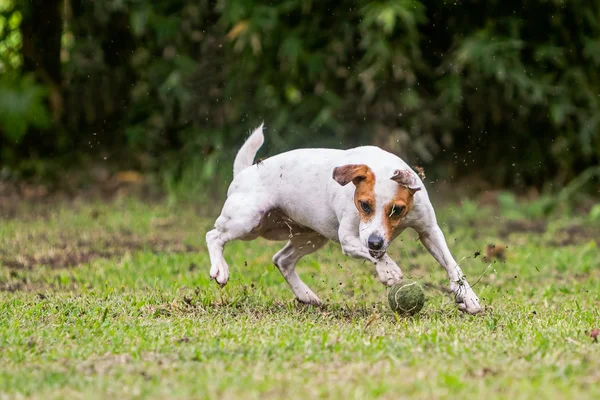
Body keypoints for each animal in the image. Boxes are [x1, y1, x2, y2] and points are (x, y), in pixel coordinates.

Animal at [206, 123, 482, 314]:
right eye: (364, 205)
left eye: (397, 210)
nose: (375, 242)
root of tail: (246, 172)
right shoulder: (349, 239)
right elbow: (371, 254)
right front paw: (388, 270)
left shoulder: (429, 230)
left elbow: (452, 265)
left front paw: (468, 297)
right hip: (247, 221)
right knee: (214, 235)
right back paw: (220, 269)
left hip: (311, 236)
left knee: (282, 260)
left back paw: (306, 294)